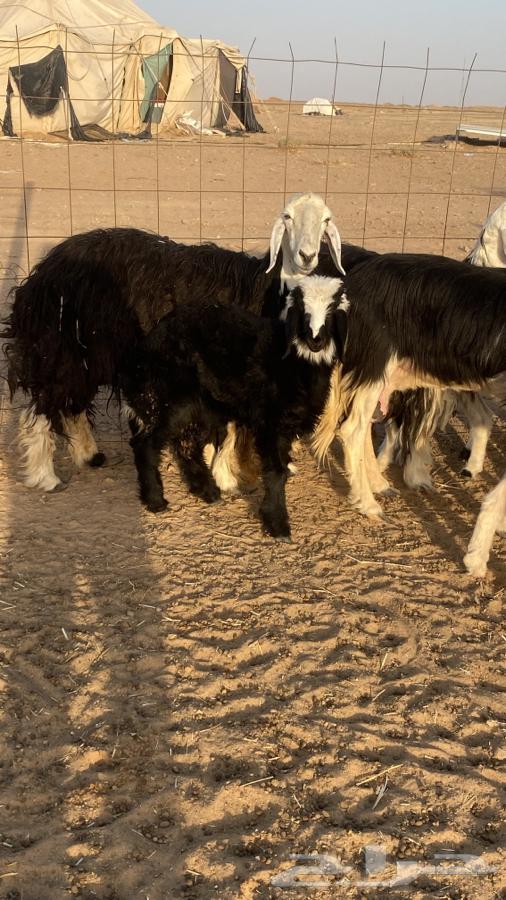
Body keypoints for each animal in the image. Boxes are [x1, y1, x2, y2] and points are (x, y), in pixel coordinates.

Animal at [3, 193, 373, 494]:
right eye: (287, 217)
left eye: (326, 220)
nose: (307, 256)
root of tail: (43, 271)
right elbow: (230, 428)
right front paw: (225, 478)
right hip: (59, 347)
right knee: (40, 409)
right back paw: (45, 476)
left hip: (86, 354)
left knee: (71, 405)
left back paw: (88, 455)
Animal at [119, 276, 348, 538]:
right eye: (302, 309)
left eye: (332, 309)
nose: (315, 341)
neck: (293, 364)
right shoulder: (270, 423)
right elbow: (276, 472)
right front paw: (277, 523)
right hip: (170, 399)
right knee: (146, 444)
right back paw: (155, 500)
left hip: (202, 405)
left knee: (187, 444)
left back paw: (207, 491)